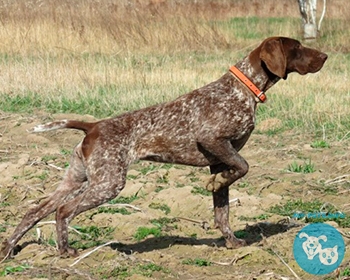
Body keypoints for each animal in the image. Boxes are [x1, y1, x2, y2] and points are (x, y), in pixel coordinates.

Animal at [1, 36, 326, 258]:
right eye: (297, 48)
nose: (324, 55)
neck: (243, 89)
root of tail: (93, 126)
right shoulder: (213, 140)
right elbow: (243, 166)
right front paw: (214, 185)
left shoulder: (220, 159)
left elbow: (223, 210)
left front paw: (231, 242)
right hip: (108, 183)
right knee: (63, 211)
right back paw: (65, 251)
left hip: (76, 179)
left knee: (35, 210)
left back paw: (8, 248)